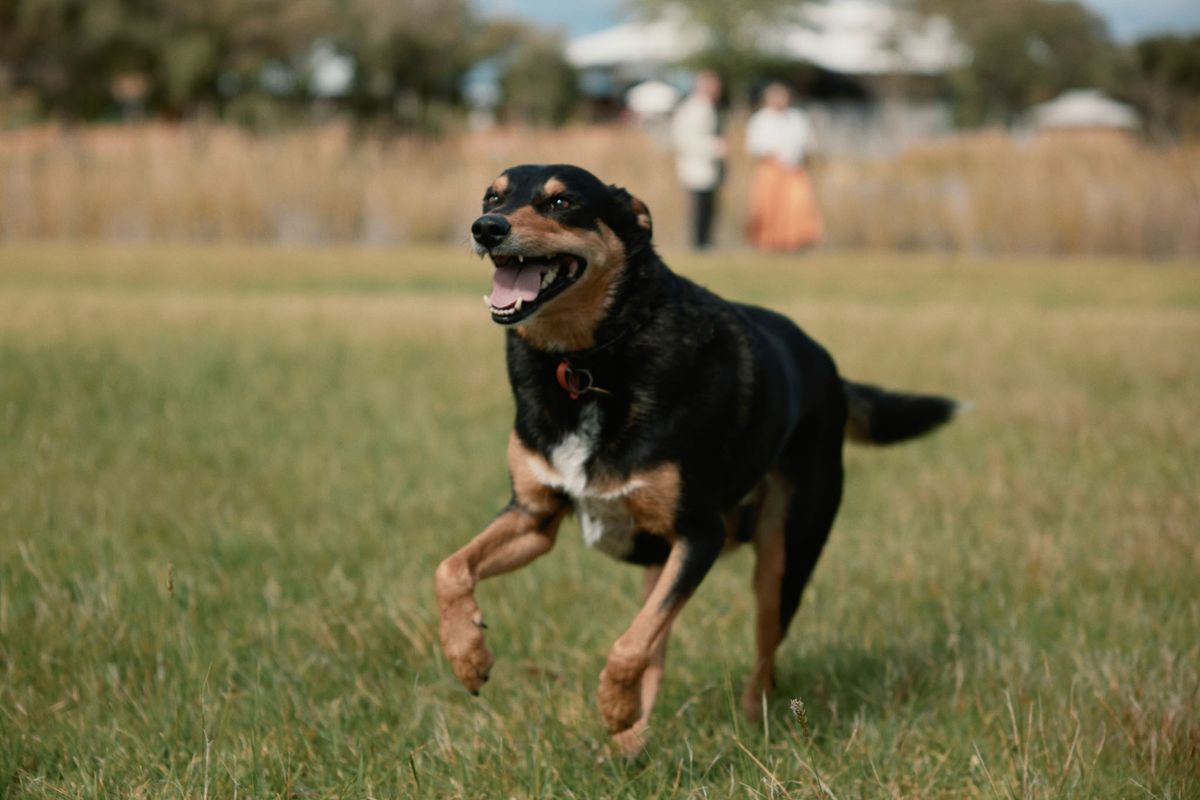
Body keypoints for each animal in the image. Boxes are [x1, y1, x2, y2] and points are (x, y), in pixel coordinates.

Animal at [432, 164, 955, 758]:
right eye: (490, 197)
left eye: (562, 202)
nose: (485, 228)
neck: (587, 362)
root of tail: (832, 372)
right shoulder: (533, 515)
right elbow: (450, 570)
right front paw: (468, 657)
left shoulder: (700, 533)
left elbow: (628, 646)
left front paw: (612, 707)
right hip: (663, 560)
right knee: (657, 645)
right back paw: (633, 742)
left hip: (782, 557)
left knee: (760, 657)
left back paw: (747, 724)